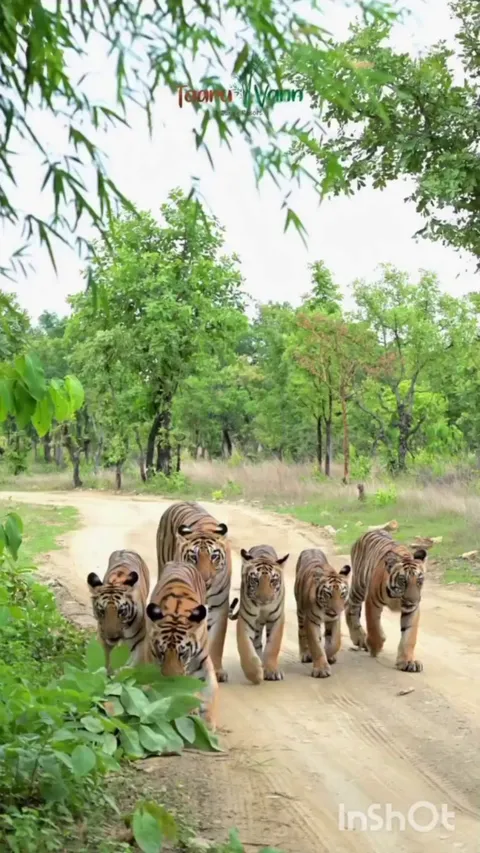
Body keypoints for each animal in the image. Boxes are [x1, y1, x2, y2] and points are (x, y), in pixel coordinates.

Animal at [146, 560, 218, 730]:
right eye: (161, 652)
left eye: (182, 653)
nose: (171, 680)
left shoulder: (202, 663)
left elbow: (210, 690)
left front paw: (208, 722)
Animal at [156, 501, 231, 683]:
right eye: (193, 557)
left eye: (214, 557)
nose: (205, 579)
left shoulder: (220, 606)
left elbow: (217, 640)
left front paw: (218, 671)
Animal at [228, 545, 289, 684]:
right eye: (255, 580)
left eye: (273, 580)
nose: (264, 600)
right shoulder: (246, 620)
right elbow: (245, 648)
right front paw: (255, 674)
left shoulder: (277, 618)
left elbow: (273, 646)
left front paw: (272, 671)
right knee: (256, 643)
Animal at [294, 548, 351, 678]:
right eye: (328, 594)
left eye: (342, 594)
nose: (337, 611)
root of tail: (310, 549)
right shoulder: (311, 620)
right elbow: (316, 645)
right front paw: (321, 669)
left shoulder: (334, 620)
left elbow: (335, 642)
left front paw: (329, 654)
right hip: (300, 612)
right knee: (301, 633)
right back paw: (305, 654)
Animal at [345, 529, 427, 672]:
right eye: (403, 581)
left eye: (419, 580)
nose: (413, 599)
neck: (397, 597)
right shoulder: (372, 601)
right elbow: (374, 626)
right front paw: (375, 646)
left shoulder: (412, 609)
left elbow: (409, 635)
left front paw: (408, 661)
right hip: (359, 586)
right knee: (350, 608)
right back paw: (360, 639)